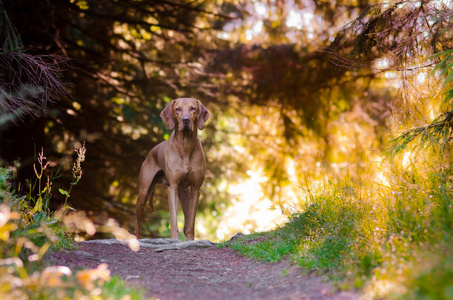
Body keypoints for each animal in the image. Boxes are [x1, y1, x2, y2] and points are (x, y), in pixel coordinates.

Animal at [134, 97, 210, 240]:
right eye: (177, 109)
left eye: (193, 108)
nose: (185, 120)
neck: (185, 145)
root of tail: (151, 151)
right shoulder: (173, 187)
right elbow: (174, 219)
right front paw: (174, 239)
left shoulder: (195, 190)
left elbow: (190, 224)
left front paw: (190, 240)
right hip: (144, 192)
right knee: (138, 221)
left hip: (184, 194)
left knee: (187, 223)